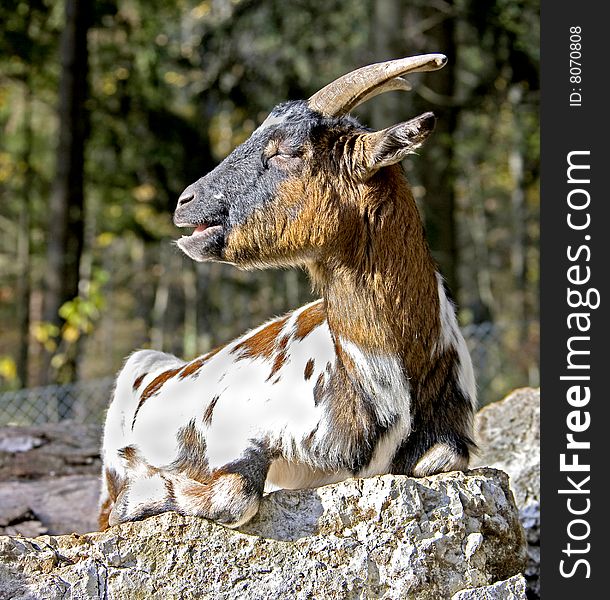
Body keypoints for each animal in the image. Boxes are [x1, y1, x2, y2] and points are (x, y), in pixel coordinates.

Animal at [98, 55, 476, 528]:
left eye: (286, 151)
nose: (185, 202)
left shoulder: (452, 438)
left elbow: (444, 458)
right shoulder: (235, 427)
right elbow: (235, 495)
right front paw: (139, 496)